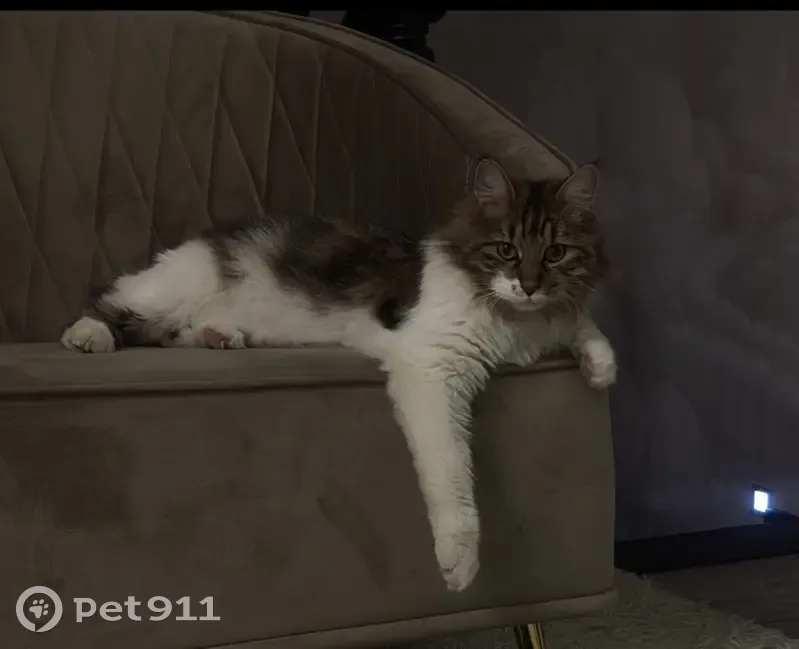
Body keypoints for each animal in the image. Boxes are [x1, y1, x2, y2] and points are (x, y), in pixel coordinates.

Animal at [60, 158, 616, 592]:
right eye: (506, 250)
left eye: (555, 253)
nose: (529, 286)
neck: (515, 321)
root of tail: (207, 236)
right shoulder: (429, 366)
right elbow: (452, 471)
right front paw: (459, 560)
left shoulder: (550, 319)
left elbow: (580, 322)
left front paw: (601, 365)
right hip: (171, 289)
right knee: (111, 302)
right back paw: (88, 336)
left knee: (178, 333)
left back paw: (220, 335)